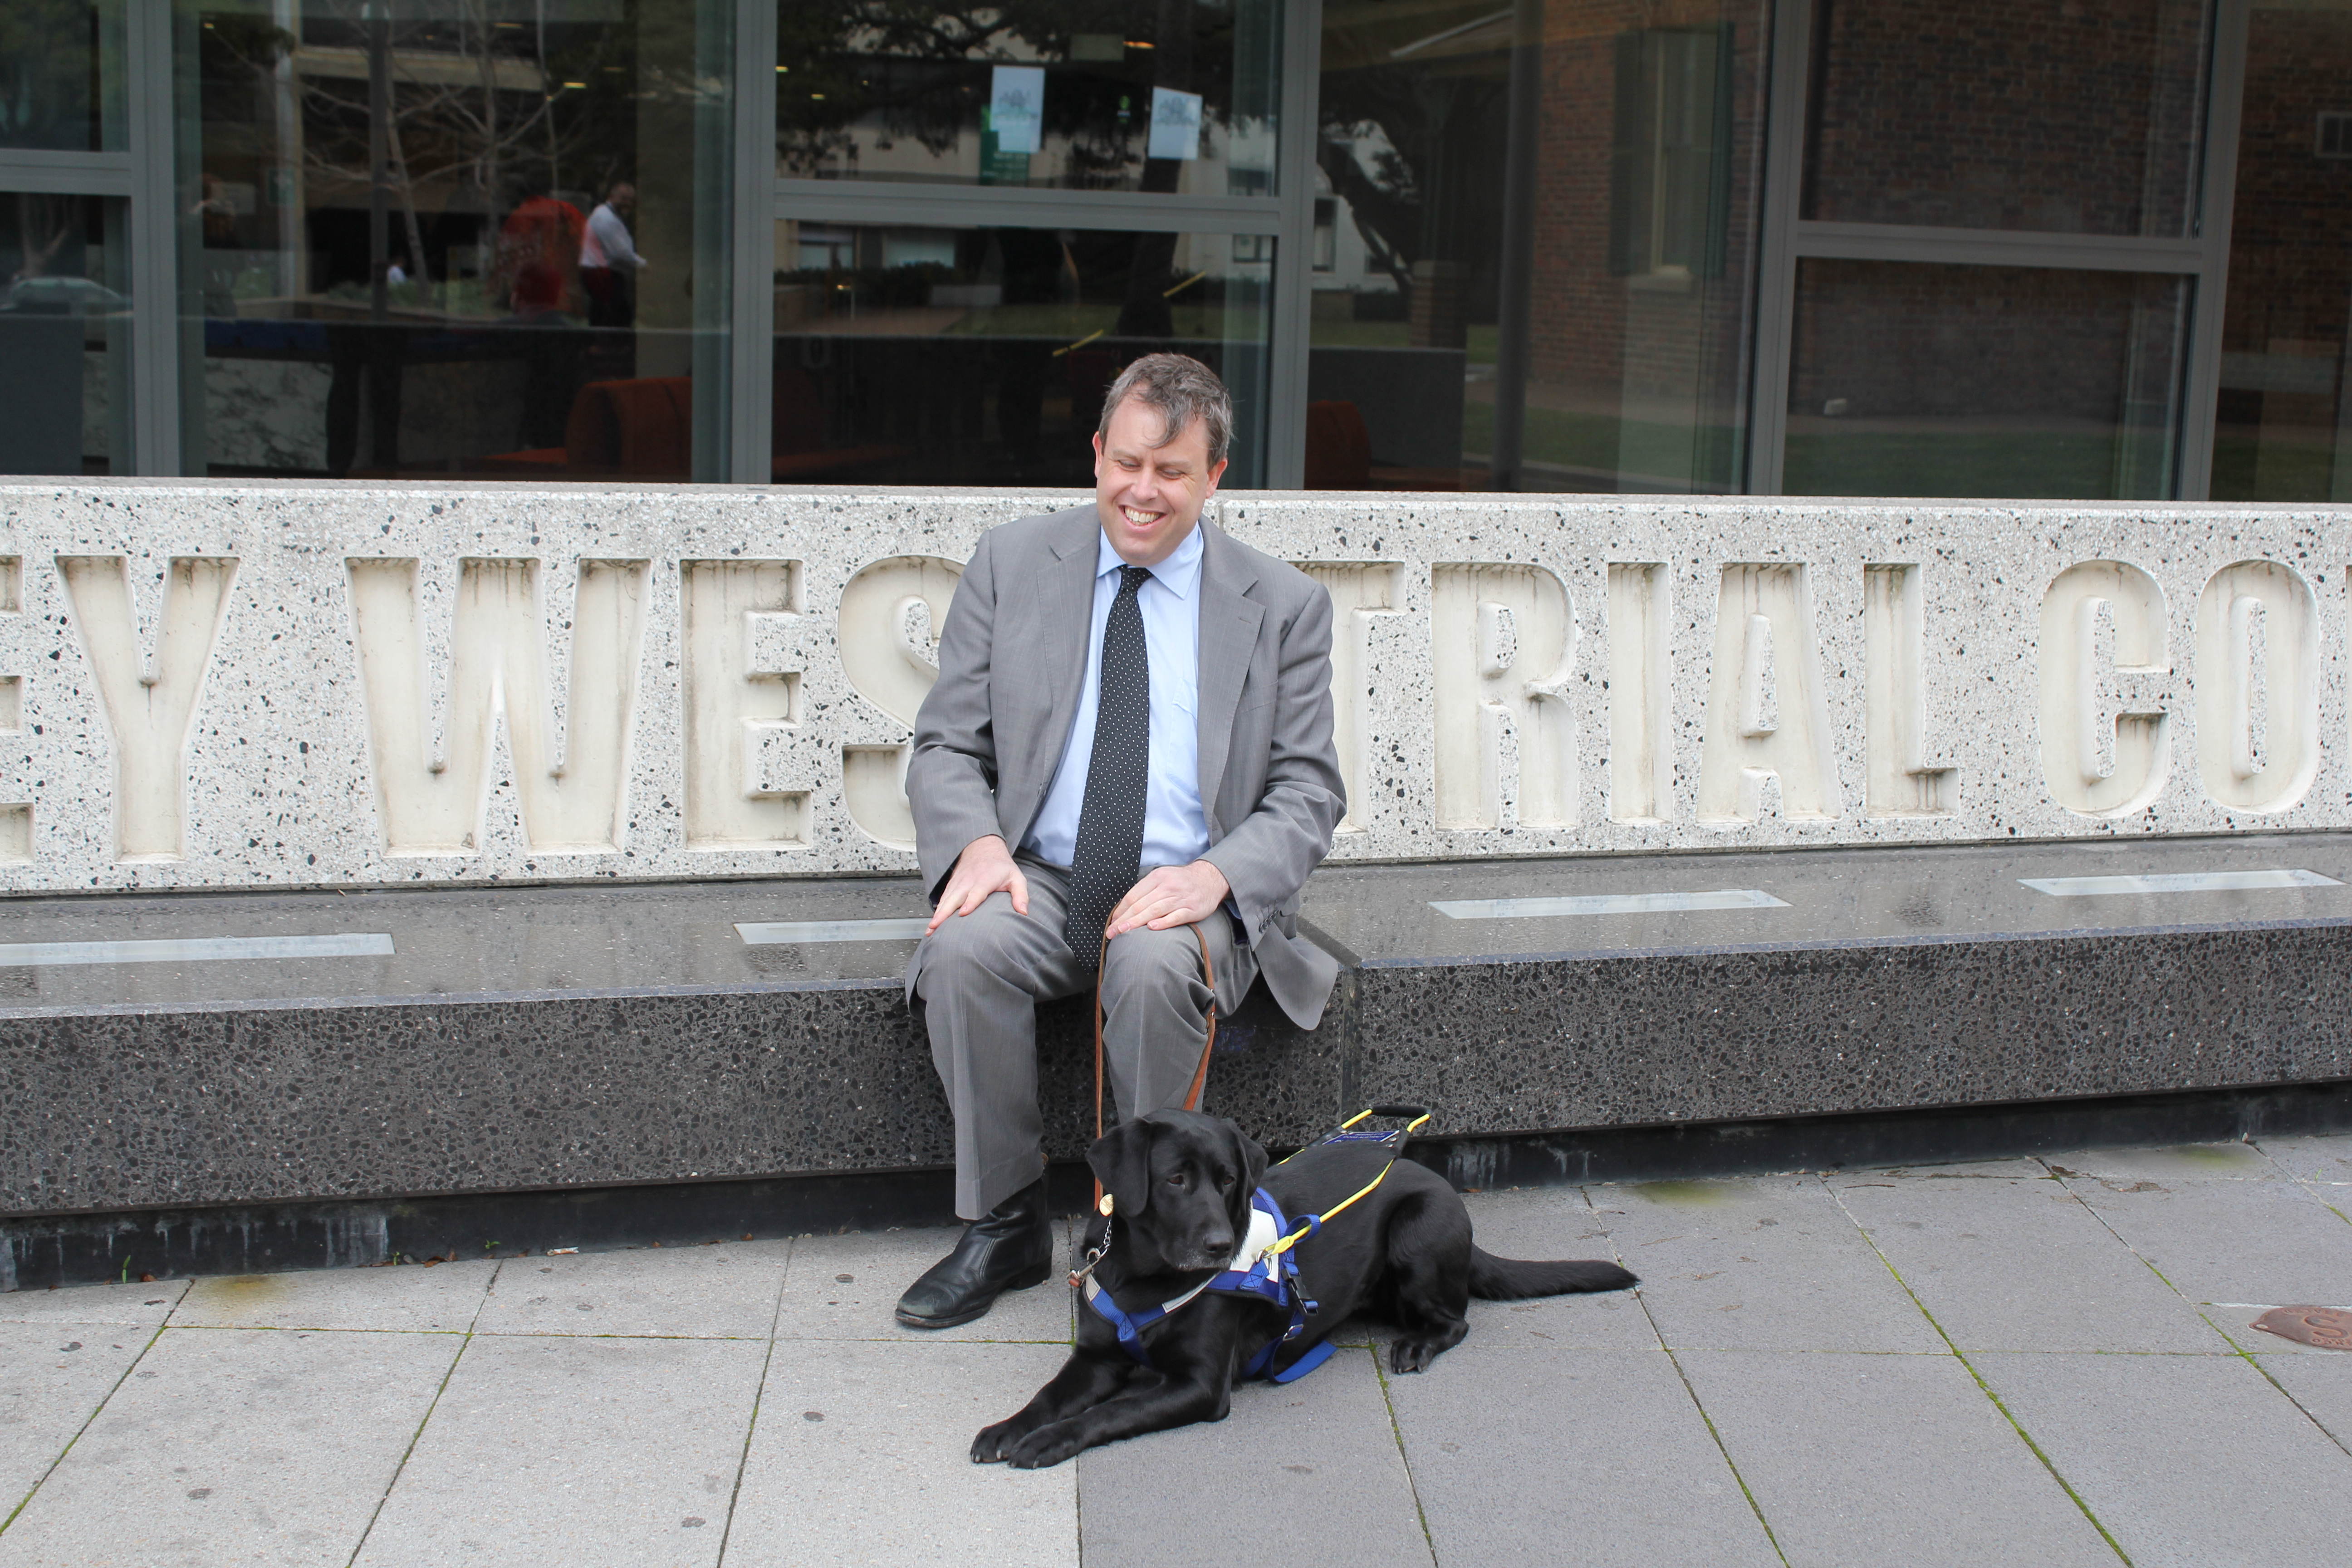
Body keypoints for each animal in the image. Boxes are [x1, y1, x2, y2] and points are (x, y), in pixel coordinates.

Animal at [974, 1109, 1637, 1467]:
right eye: (1176, 1180)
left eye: (1228, 1180)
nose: (1220, 1245)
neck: (1146, 1277)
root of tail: (1434, 1178)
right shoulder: (1095, 1358)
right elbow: (1050, 1396)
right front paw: (1010, 1427)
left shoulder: (1198, 1387)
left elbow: (1111, 1411)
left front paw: (1051, 1440)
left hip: (1418, 1232)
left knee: (1457, 1319)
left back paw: (1418, 1344)